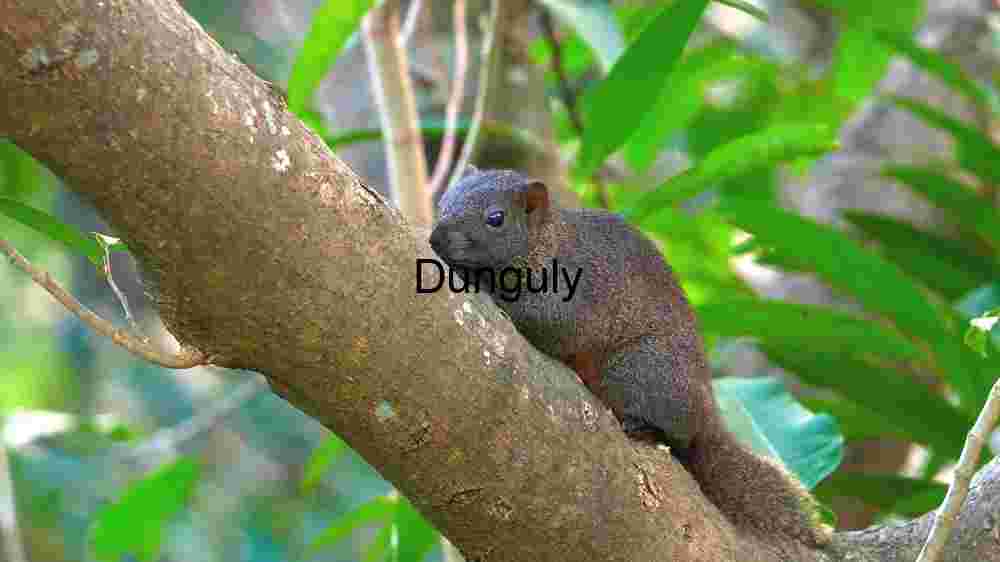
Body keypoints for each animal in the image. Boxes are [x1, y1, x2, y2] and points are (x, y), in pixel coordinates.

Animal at [429, 169, 831, 548]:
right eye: (442, 202)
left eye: (495, 218)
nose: (436, 238)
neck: (545, 243)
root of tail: (704, 414)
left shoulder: (577, 292)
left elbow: (551, 322)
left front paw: (479, 279)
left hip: (636, 371)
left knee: (674, 435)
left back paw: (642, 427)